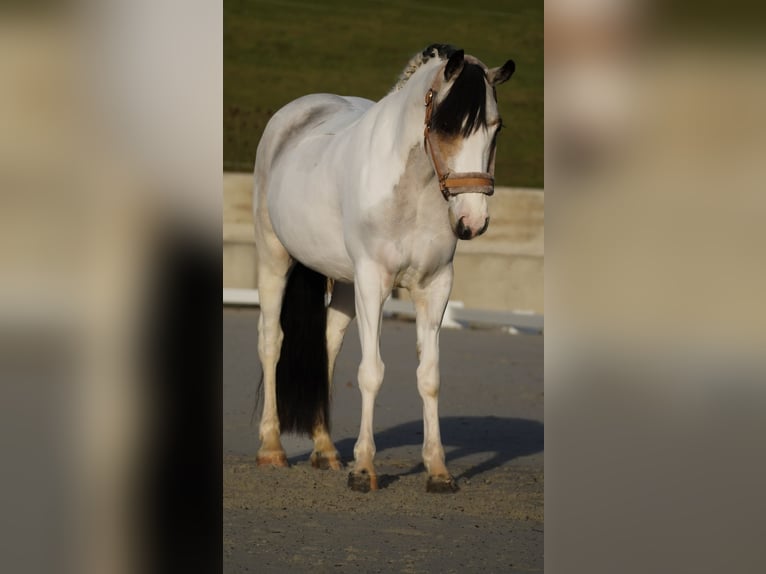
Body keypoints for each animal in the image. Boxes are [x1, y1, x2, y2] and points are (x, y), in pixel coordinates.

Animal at [252, 44, 515, 493]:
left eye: (495, 129)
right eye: (447, 125)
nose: (472, 221)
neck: (413, 192)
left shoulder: (435, 287)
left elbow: (429, 376)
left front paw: (438, 470)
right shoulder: (373, 282)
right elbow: (371, 372)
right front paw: (364, 468)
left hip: (344, 282)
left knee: (327, 345)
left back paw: (325, 449)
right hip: (274, 257)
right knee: (272, 340)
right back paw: (271, 447)